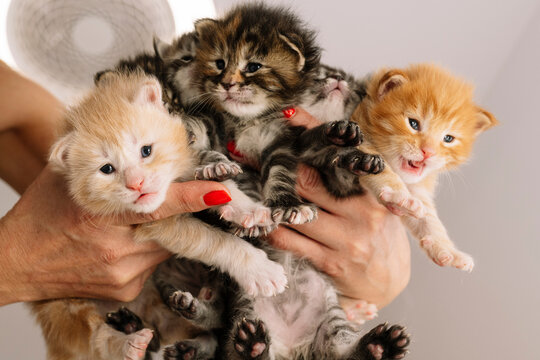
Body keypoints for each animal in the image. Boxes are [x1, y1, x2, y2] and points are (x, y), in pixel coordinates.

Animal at [31, 71, 288, 360]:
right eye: (106, 169)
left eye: (146, 150)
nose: (137, 184)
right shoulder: (155, 223)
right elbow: (215, 241)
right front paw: (260, 270)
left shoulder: (184, 163)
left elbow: (221, 189)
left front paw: (251, 210)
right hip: (65, 306)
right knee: (97, 337)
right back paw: (129, 343)